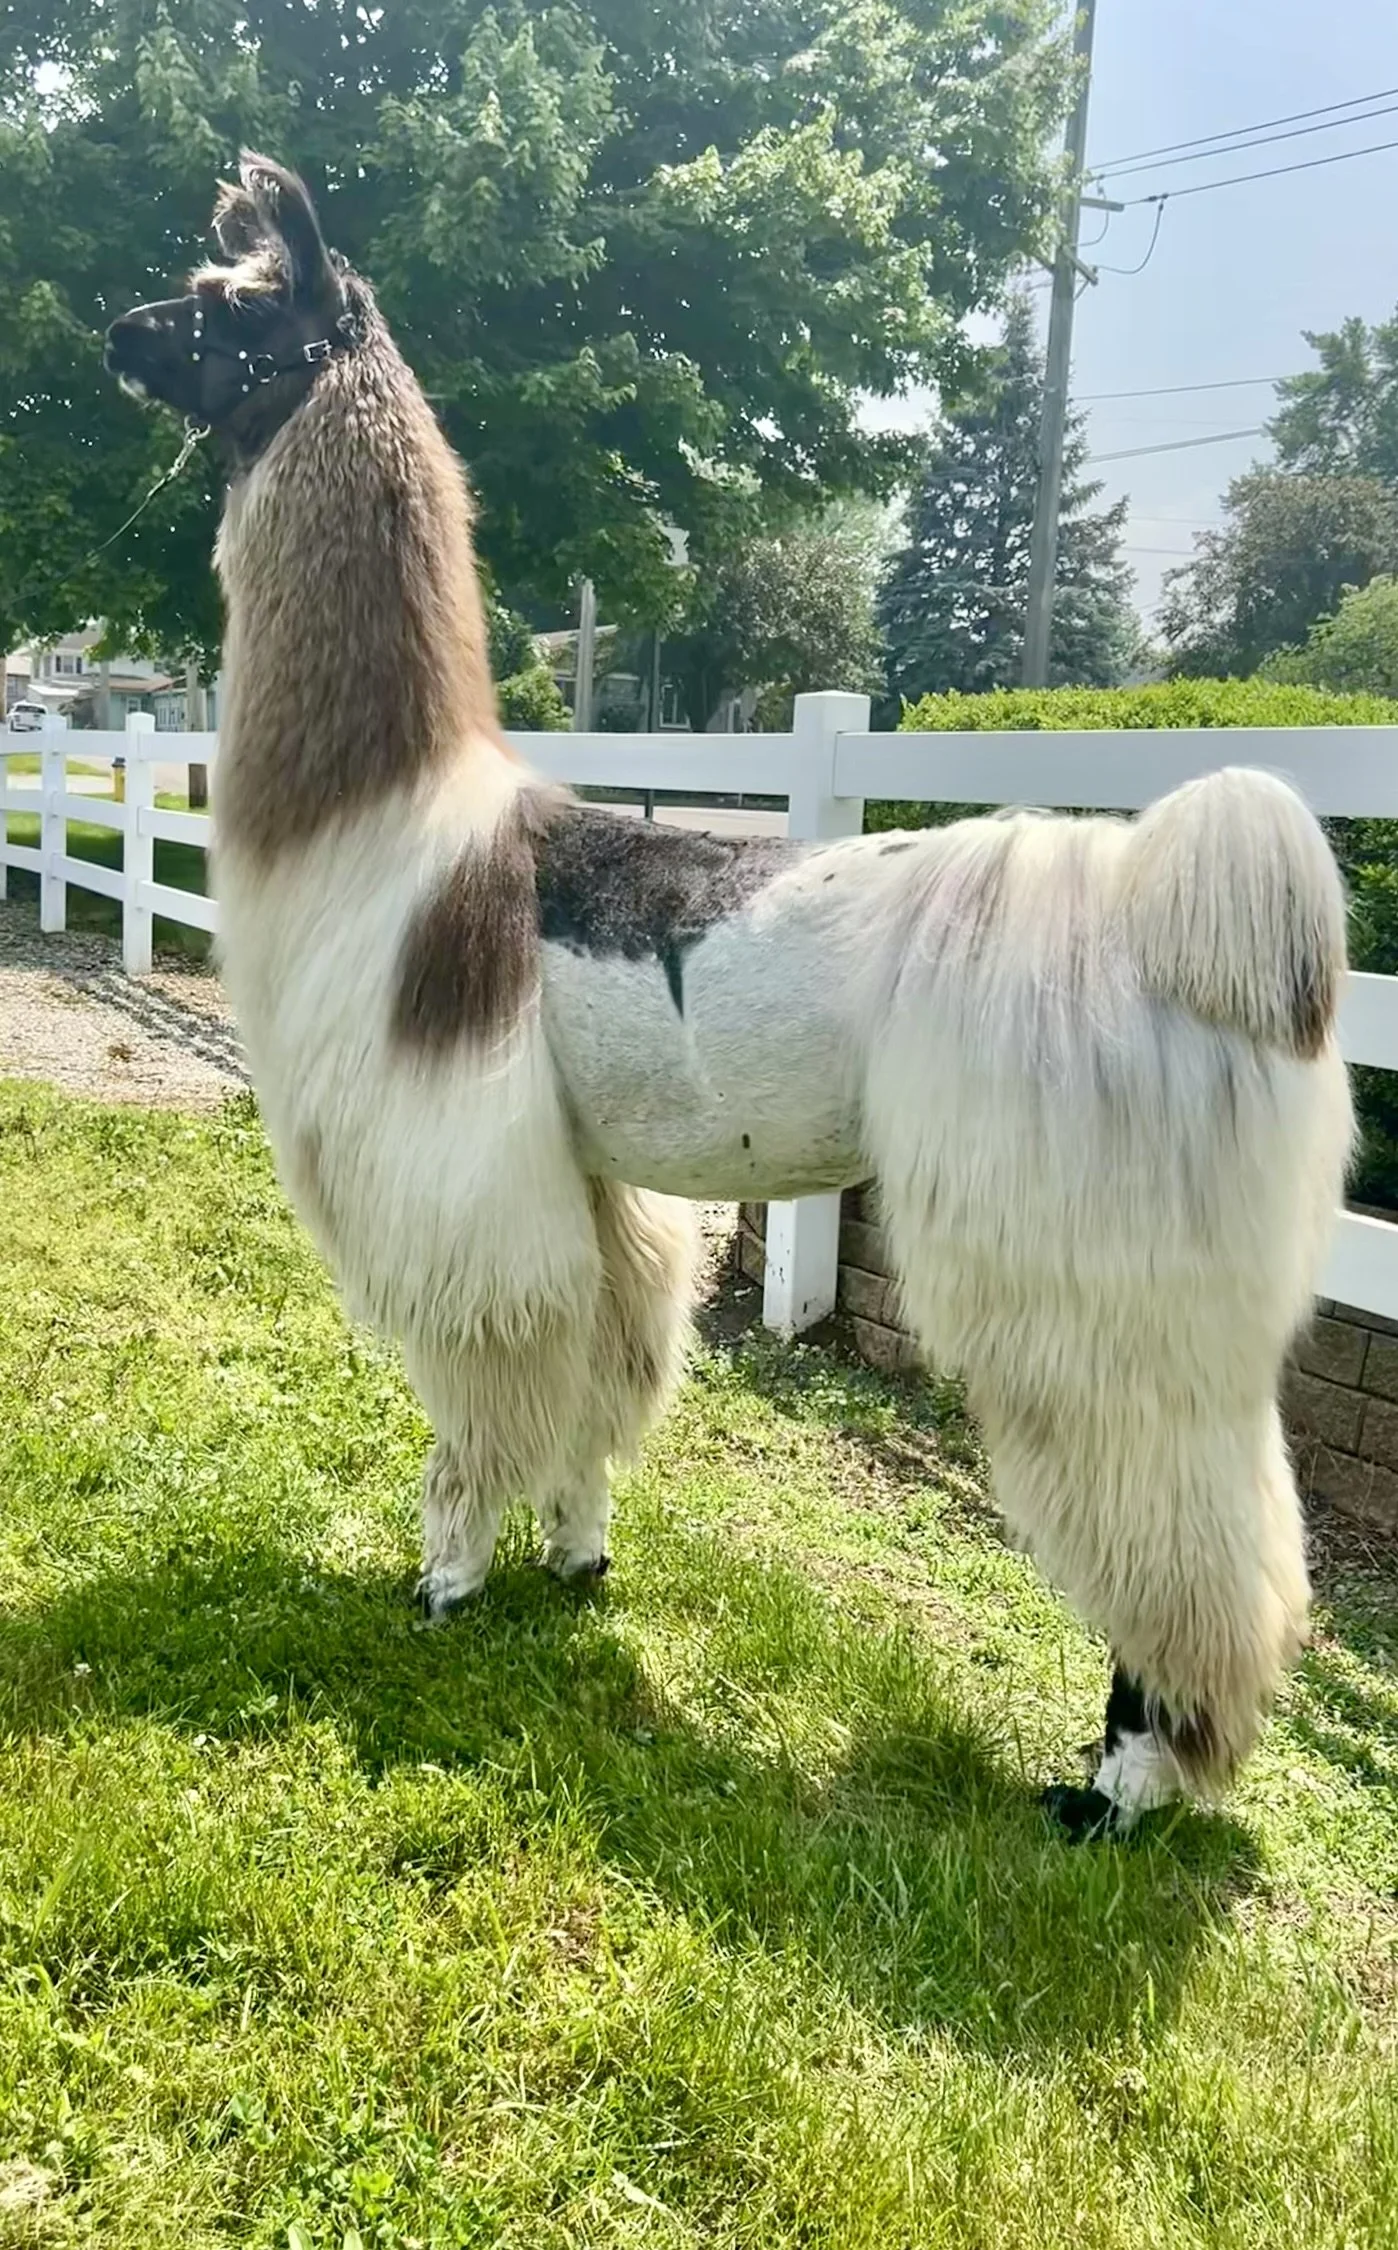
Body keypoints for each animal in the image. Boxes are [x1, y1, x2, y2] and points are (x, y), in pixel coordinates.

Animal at [105, 155, 1354, 1836]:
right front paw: (575, 1553)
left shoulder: (445, 1148)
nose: (115, 330)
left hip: (1088, 1249)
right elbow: (601, 1352)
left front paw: (442, 1585)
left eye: (233, 308)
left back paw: (1115, 1785)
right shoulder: (575, 1163)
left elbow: (480, 1384)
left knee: (1170, 1511)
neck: (393, 824)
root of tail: (1200, 925)